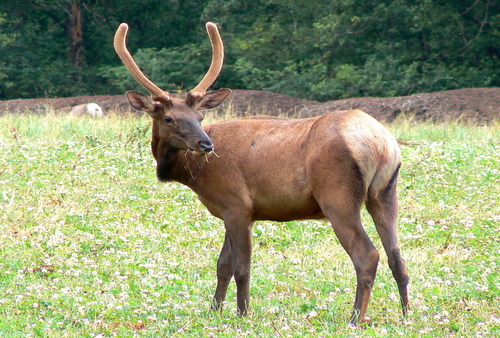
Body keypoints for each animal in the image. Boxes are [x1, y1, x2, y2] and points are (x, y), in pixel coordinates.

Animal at [114, 21, 410, 324]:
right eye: (169, 118)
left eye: (199, 117)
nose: (206, 144)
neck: (195, 173)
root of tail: (381, 143)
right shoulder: (231, 210)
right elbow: (223, 264)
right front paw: (214, 310)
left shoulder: (237, 204)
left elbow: (241, 267)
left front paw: (243, 313)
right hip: (386, 192)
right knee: (396, 255)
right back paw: (406, 313)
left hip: (337, 195)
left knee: (367, 255)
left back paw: (355, 318)